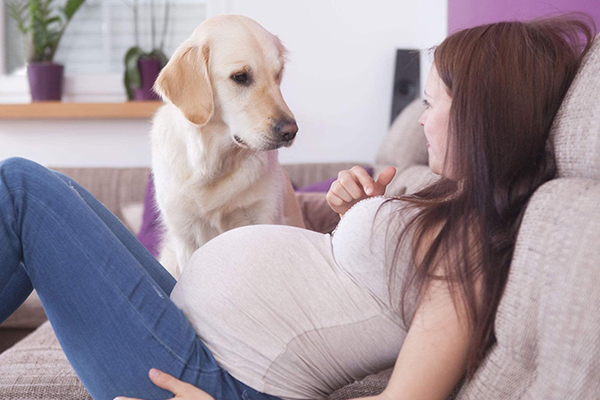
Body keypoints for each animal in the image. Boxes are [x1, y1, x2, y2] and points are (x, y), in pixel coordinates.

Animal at [148, 14, 308, 278]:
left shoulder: (263, 218)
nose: (290, 131)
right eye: (241, 76)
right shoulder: (185, 235)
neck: (213, 165)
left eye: (277, 74)